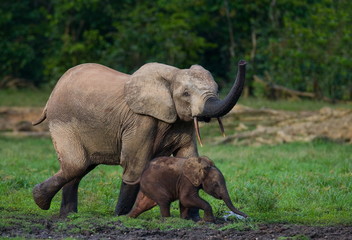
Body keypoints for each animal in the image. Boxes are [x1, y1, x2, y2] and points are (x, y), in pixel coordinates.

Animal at [31, 59, 246, 218]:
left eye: (217, 89)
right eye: (185, 94)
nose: (242, 62)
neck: (172, 75)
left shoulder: (181, 122)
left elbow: (188, 156)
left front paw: (193, 219)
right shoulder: (140, 120)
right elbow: (135, 164)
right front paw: (120, 217)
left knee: (81, 167)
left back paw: (68, 215)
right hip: (62, 120)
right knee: (76, 164)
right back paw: (41, 201)